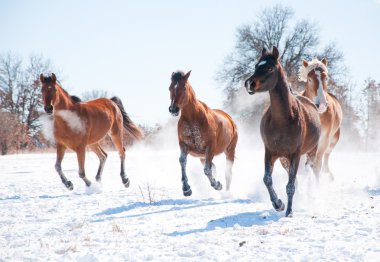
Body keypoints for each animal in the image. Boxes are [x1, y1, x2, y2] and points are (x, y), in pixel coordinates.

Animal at [245, 47, 322, 217]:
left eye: (270, 68)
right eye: (256, 65)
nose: (249, 84)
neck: (282, 120)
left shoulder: (295, 155)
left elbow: (290, 185)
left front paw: (289, 211)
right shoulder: (270, 152)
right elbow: (267, 179)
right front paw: (278, 204)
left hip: (310, 152)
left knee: (308, 173)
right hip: (283, 159)